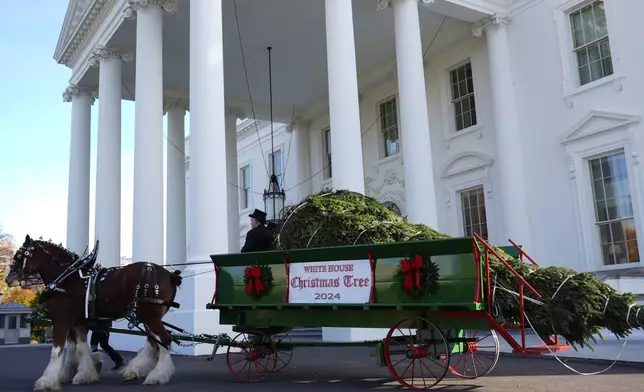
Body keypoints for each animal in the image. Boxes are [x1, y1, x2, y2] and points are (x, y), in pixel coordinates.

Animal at [6, 234, 184, 390]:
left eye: (19, 255)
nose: (8, 278)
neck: (68, 279)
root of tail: (169, 275)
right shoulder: (78, 322)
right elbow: (82, 347)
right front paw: (84, 374)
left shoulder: (61, 320)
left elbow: (57, 351)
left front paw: (46, 381)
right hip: (146, 317)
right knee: (155, 341)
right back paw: (136, 371)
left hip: (149, 316)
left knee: (165, 340)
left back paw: (157, 375)